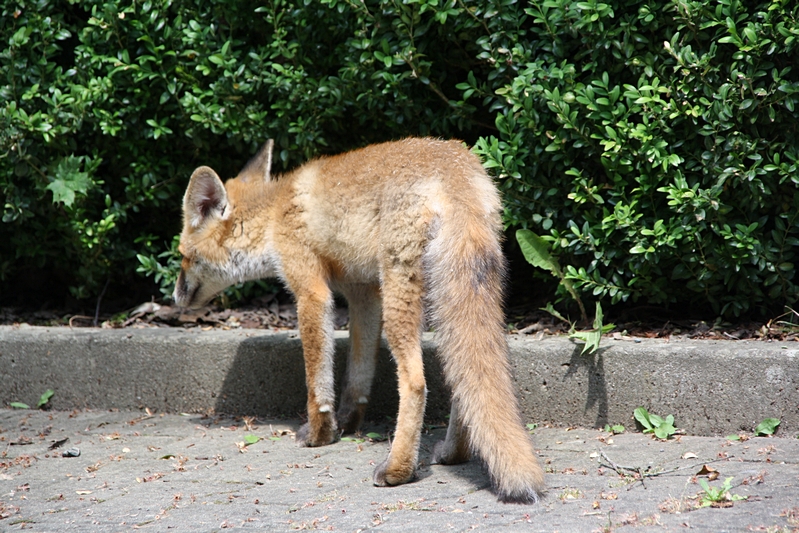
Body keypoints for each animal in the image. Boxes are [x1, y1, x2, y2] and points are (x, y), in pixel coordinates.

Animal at [173, 137, 545, 503]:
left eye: (183, 256)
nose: (175, 298)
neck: (275, 214)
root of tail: (458, 170)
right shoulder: (364, 295)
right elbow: (358, 374)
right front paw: (347, 423)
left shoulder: (311, 291)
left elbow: (317, 381)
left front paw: (320, 434)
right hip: (446, 303)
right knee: (463, 381)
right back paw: (454, 453)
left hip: (401, 298)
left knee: (416, 383)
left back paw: (398, 469)